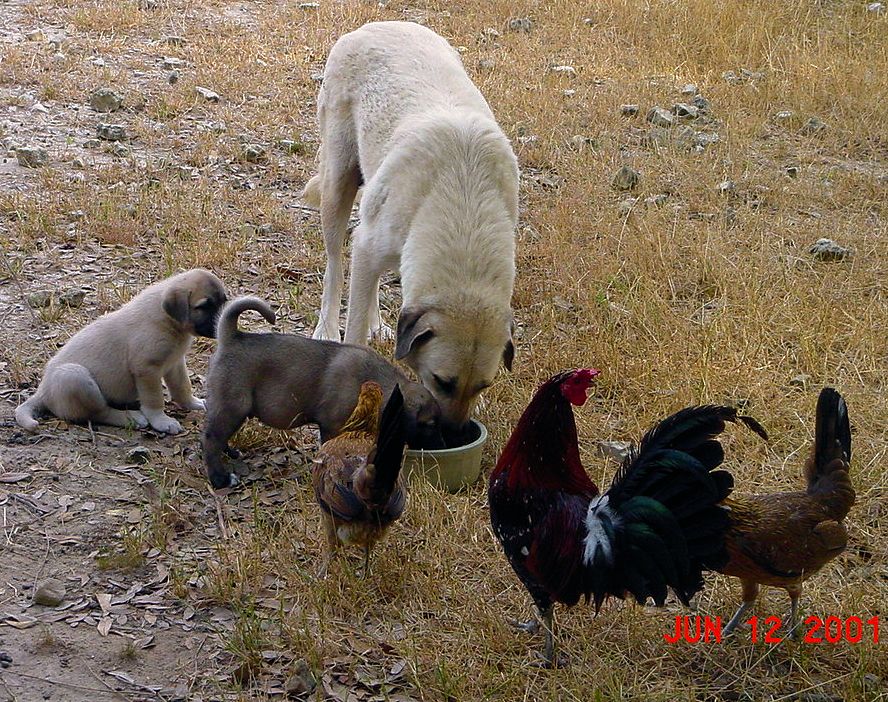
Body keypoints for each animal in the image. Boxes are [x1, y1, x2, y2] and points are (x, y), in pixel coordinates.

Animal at [15, 270, 227, 434]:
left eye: (224, 301)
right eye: (204, 306)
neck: (169, 323)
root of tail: (42, 391)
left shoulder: (175, 363)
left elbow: (183, 387)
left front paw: (194, 403)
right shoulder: (146, 369)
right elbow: (154, 399)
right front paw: (161, 421)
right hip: (74, 377)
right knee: (99, 413)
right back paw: (131, 418)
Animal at [202, 296, 444, 490]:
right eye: (430, 424)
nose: (442, 445)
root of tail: (231, 337)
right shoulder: (332, 426)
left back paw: (231, 453)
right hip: (234, 407)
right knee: (211, 439)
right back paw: (220, 479)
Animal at [302, 20, 516, 428]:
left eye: (482, 385)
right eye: (441, 381)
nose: (454, 433)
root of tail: (373, 25)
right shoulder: (368, 244)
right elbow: (354, 325)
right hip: (337, 188)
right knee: (336, 265)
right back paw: (326, 328)